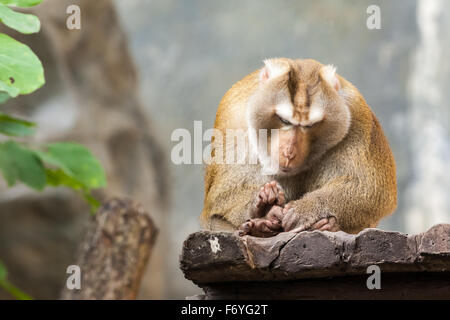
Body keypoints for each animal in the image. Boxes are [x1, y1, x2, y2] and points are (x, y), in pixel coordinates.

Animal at [199, 58, 396, 238]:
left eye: (310, 126)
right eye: (284, 120)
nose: (289, 153)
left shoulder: (357, 116)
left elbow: (371, 190)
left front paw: (306, 209)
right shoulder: (233, 117)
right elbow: (219, 200)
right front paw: (264, 207)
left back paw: (326, 225)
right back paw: (260, 225)